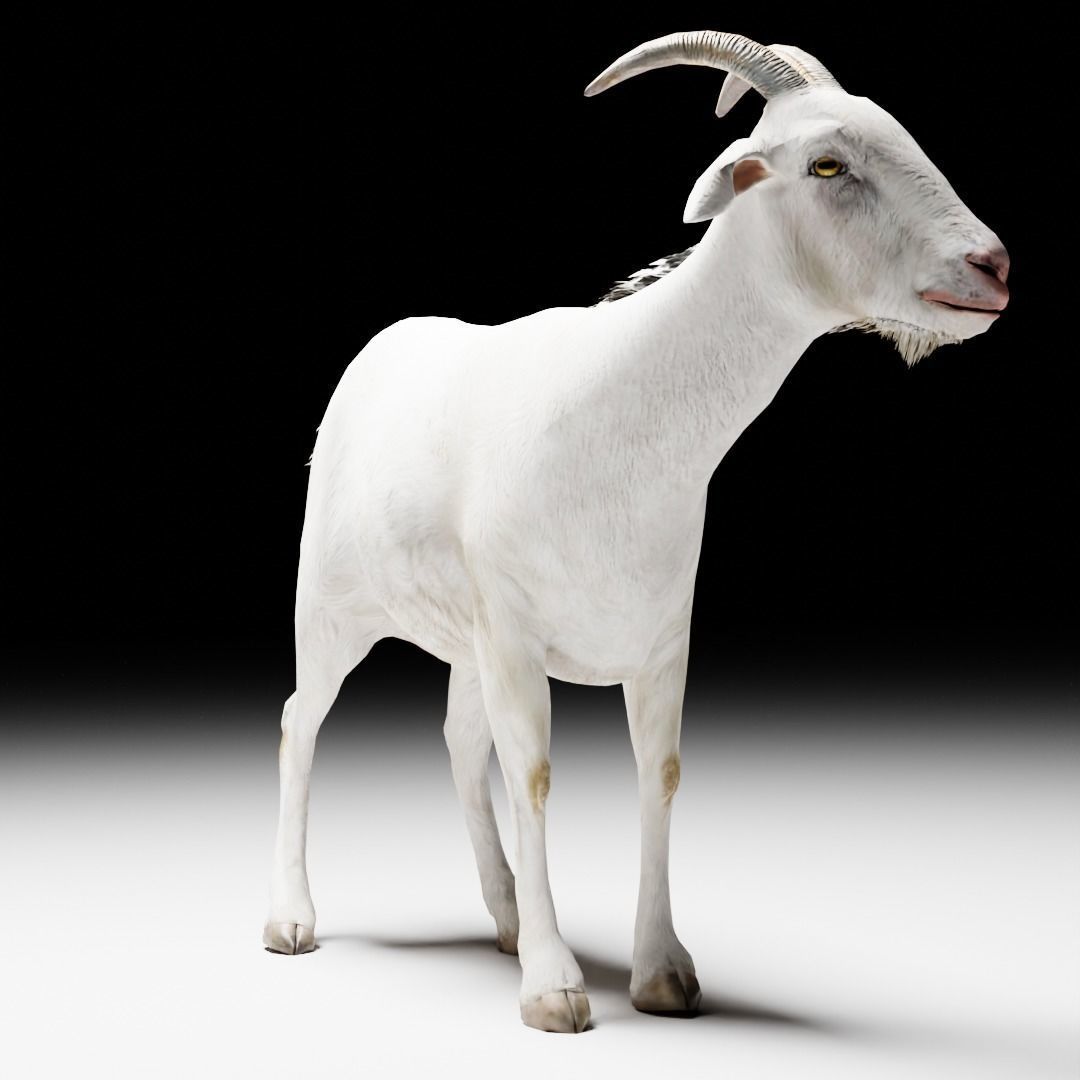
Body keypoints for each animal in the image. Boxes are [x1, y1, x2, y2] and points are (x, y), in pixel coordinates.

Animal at [263, 31, 1009, 1033]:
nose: (992, 267)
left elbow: (660, 773)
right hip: (335, 607)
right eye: (828, 164)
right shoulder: (518, 640)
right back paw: (293, 920)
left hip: (464, 637)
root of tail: (378, 352)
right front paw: (554, 986)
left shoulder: (657, 643)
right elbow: (534, 773)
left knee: (459, 742)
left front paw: (662, 974)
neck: (615, 407)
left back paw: (504, 916)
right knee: (301, 720)